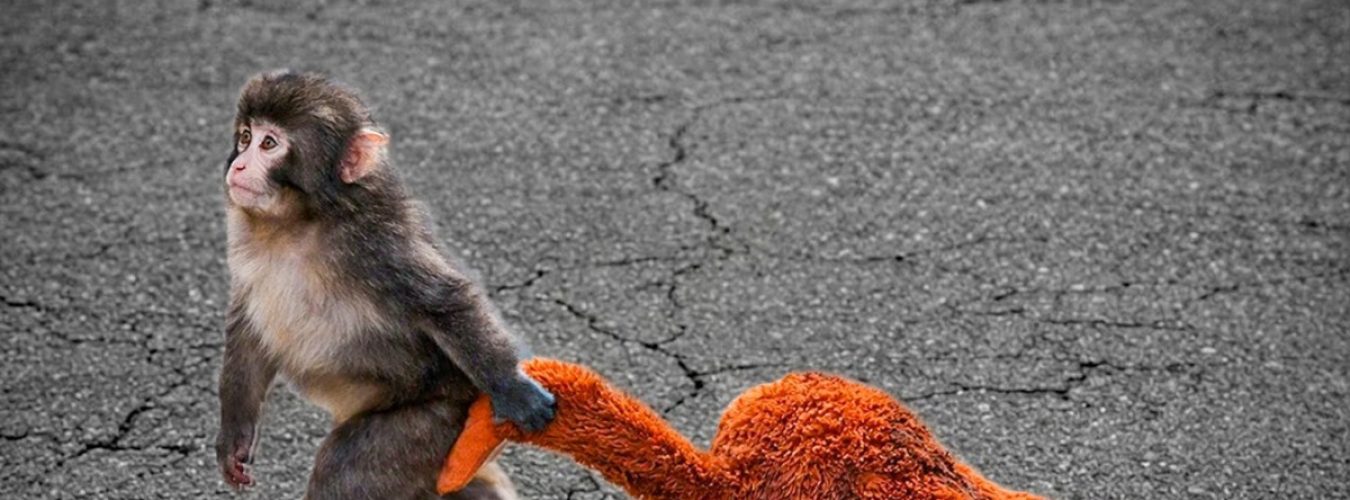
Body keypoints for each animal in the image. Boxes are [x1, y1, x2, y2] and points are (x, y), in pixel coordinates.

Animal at [215, 70, 555, 500]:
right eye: (245, 136)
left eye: (269, 143)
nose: (240, 165)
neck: (296, 224)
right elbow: (247, 331)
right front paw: (234, 438)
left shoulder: (376, 244)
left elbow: (445, 302)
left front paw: (513, 388)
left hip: (439, 418)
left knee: (346, 469)